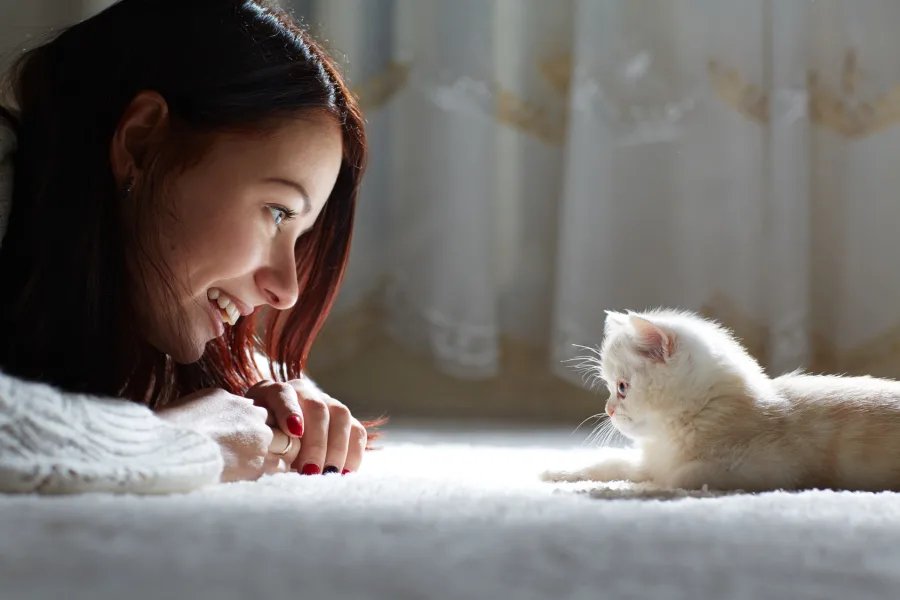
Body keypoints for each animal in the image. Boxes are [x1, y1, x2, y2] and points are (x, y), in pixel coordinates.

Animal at [540, 310, 900, 492]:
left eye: (622, 388)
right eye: (610, 388)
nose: (609, 409)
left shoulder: (773, 468)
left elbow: (678, 477)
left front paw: (652, 487)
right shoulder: (652, 458)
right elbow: (610, 463)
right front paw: (560, 472)